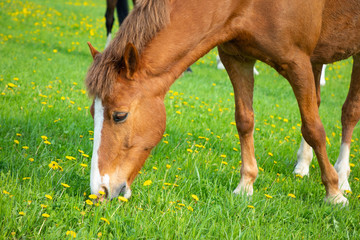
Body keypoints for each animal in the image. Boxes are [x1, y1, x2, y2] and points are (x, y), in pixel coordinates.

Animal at [86, 0, 358, 206]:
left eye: (119, 115)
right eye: (92, 113)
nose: (99, 191)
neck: (245, 5)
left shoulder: (296, 62)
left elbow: (313, 128)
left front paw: (333, 194)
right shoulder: (237, 58)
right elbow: (245, 120)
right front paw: (246, 185)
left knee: (349, 112)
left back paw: (343, 177)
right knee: (318, 102)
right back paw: (303, 165)